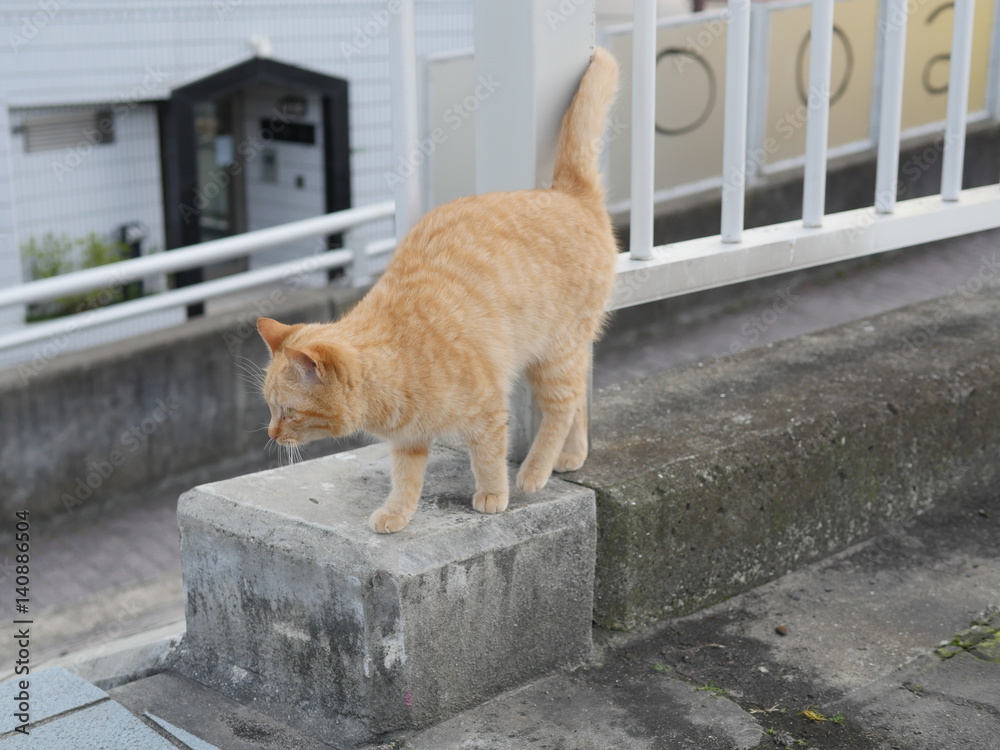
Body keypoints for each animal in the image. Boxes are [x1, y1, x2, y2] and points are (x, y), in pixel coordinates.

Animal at [257, 47, 619, 533]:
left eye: (288, 411)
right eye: (270, 408)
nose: (272, 433)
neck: (399, 355)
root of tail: (567, 194)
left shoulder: (489, 412)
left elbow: (487, 456)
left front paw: (493, 494)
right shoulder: (408, 439)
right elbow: (406, 478)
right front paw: (397, 513)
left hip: (555, 353)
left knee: (562, 406)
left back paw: (535, 471)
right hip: (565, 353)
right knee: (578, 397)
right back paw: (573, 455)